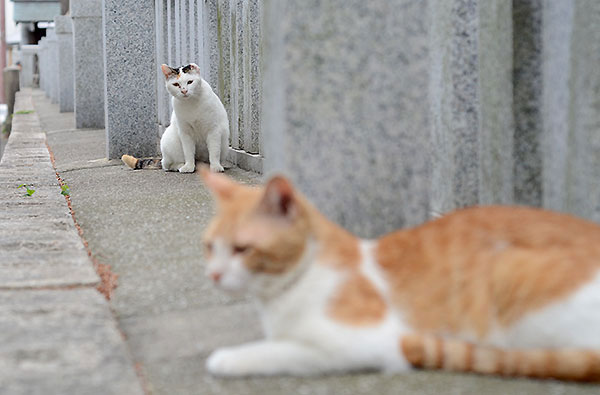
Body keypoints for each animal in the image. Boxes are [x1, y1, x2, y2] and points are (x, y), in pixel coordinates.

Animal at [200, 169, 600, 380]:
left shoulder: (360, 341)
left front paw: (228, 358)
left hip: (512, 279)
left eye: (242, 249)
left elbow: (282, 351)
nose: (214, 276)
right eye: (210, 247)